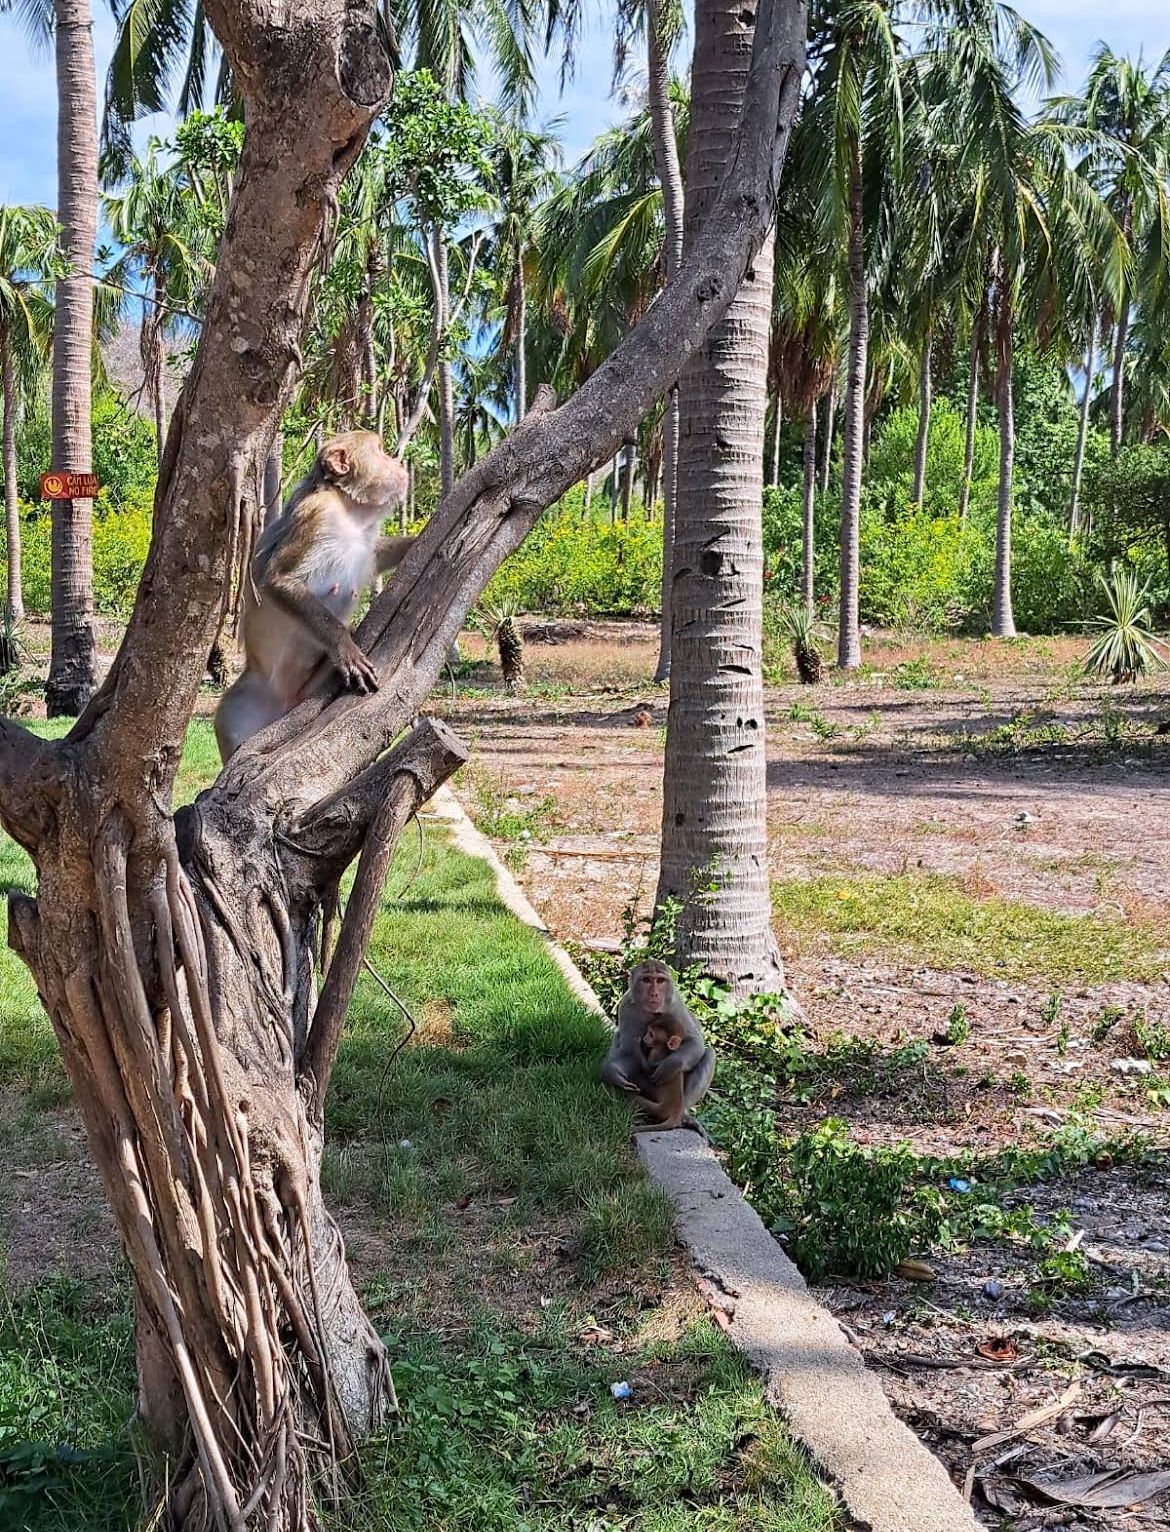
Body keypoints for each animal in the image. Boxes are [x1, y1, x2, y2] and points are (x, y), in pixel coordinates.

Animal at [214, 431, 412, 763]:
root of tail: (283, 700)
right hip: (241, 707)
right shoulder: (316, 514)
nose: (398, 463)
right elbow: (278, 581)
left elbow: (376, 554)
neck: (350, 512)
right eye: (381, 450)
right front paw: (345, 649)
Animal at [601, 960, 715, 1133]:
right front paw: (613, 1074)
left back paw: (683, 1116)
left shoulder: (676, 1005)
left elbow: (695, 1042)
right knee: (619, 1039)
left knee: (709, 1054)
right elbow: (628, 1052)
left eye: (660, 980)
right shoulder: (626, 1008)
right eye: (647, 980)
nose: (654, 994)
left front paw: (669, 1066)